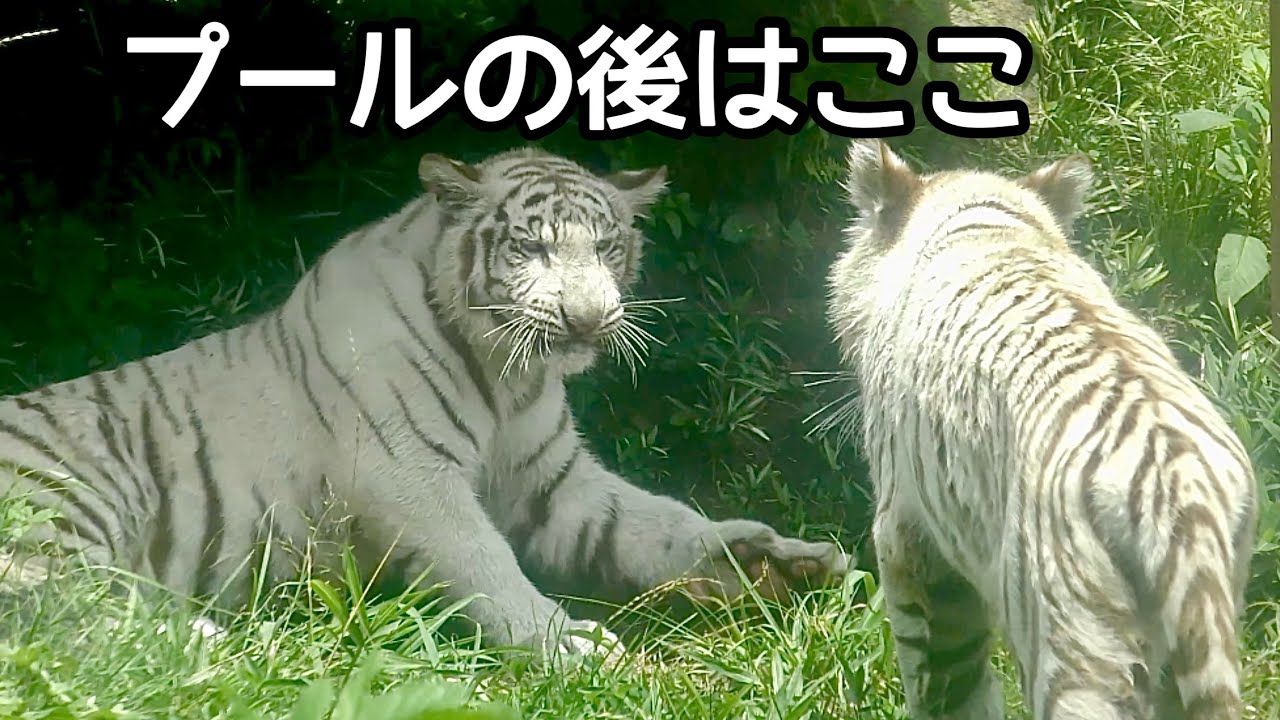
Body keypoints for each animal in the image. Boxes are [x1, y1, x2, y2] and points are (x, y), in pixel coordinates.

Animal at [0, 146, 849, 661]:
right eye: (534, 248)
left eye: (606, 247)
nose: (587, 320)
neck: (510, 375)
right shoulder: (408, 478)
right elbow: (486, 560)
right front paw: (563, 643)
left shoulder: (555, 484)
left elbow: (658, 523)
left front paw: (778, 561)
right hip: (61, 501)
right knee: (57, 607)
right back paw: (227, 645)